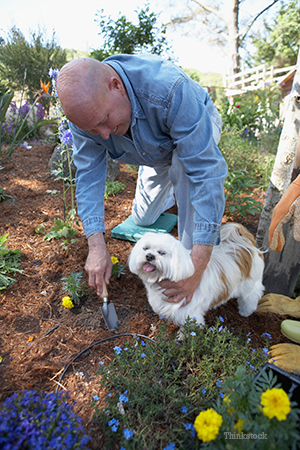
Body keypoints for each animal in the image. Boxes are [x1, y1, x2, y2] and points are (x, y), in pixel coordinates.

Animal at [127, 224, 264, 326]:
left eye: (162, 252)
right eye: (145, 248)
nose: (149, 256)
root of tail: (245, 245)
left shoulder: (189, 314)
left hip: (250, 285)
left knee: (252, 295)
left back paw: (245, 311)